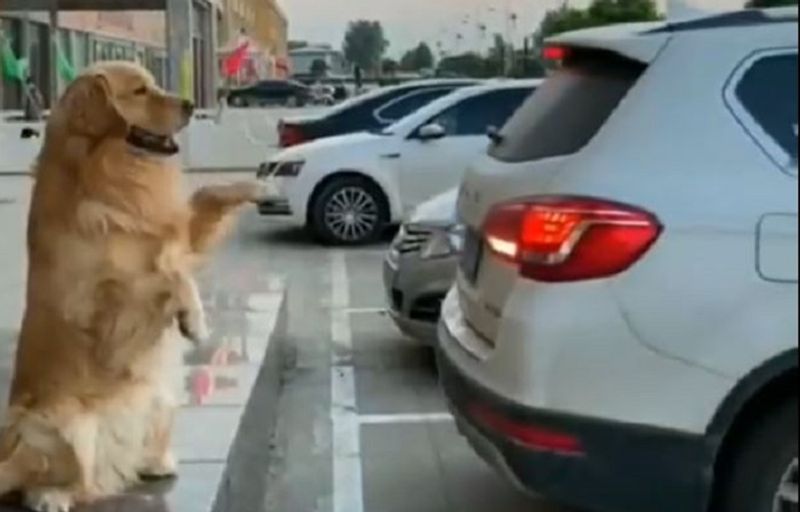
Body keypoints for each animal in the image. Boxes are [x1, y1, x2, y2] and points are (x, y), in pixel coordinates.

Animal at [0, 62, 264, 510]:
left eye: (154, 83)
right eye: (140, 91)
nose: (190, 104)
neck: (115, 175)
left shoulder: (177, 235)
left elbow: (201, 207)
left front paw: (255, 186)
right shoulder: (106, 311)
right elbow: (166, 274)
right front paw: (194, 318)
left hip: (158, 397)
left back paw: (154, 462)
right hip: (63, 424)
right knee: (57, 482)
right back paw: (52, 495)